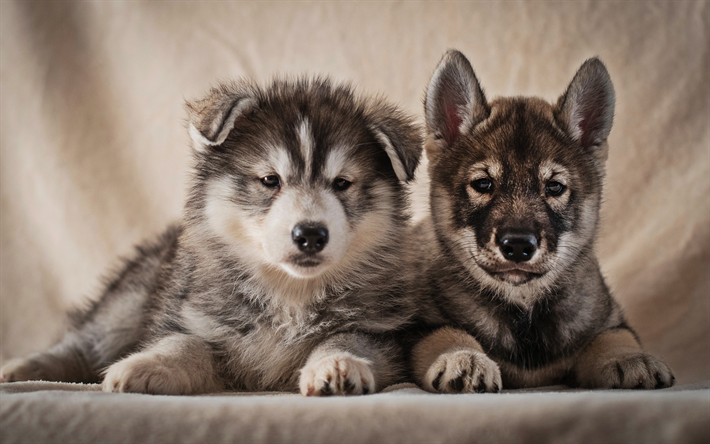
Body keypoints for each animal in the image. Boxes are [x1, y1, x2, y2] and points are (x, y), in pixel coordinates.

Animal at [0, 76, 422, 396]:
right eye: (270, 180)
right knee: (83, 343)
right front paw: (150, 363)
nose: (310, 234)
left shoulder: (381, 332)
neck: (290, 293)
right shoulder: (198, 319)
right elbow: (183, 343)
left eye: (342, 183)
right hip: (128, 302)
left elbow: (344, 339)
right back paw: (21, 367)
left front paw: (338, 364)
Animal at [408, 50, 676, 394]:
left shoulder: (610, 319)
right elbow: (446, 333)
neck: (524, 309)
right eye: (483, 184)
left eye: (555, 187)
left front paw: (630, 358)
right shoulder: (418, 328)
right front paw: (463, 357)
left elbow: (613, 337)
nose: (518, 246)